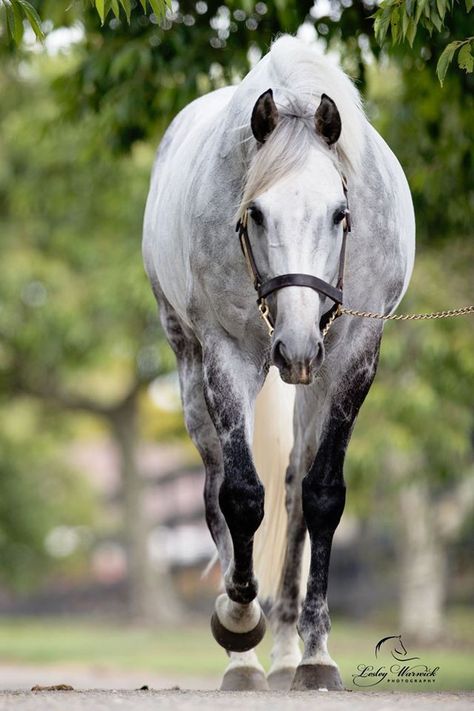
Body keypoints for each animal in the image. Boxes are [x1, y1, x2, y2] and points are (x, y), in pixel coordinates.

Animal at [142, 36, 414, 692]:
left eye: (340, 213)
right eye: (257, 214)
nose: (294, 345)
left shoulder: (352, 355)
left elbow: (322, 497)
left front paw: (316, 656)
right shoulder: (224, 354)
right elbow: (240, 495)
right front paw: (238, 622)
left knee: (292, 490)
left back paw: (290, 652)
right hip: (189, 365)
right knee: (214, 486)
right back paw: (243, 657)